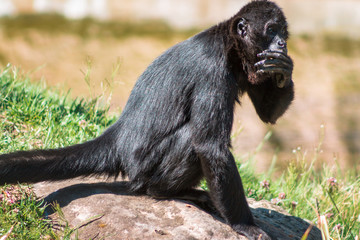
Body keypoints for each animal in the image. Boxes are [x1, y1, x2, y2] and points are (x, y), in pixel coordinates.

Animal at [0, 0, 294, 239]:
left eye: (283, 32)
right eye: (271, 30)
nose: (281, 43)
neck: (228, 44)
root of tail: (119, 137)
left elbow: (266, 115)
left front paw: (285, 69)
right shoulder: (213, 71)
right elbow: (211, 147)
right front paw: (245, 226)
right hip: (145, 167)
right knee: (191, 139)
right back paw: (163, 191)